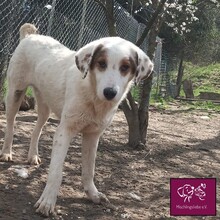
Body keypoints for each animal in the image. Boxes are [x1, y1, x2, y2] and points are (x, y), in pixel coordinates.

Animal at [0, 23, 153, 216]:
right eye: (101, 64)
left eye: (125, 67)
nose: (110, 92)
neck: (93, 96)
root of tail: (30, 36)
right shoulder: (64, 131)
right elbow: (56, 172)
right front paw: (47, 202)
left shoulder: (92, 136)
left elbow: (89, 170)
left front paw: (93, 194)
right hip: (15, 93)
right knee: (10, 125)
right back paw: (6, 152)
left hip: (44, 105)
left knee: (37, 129)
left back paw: (33, 156)